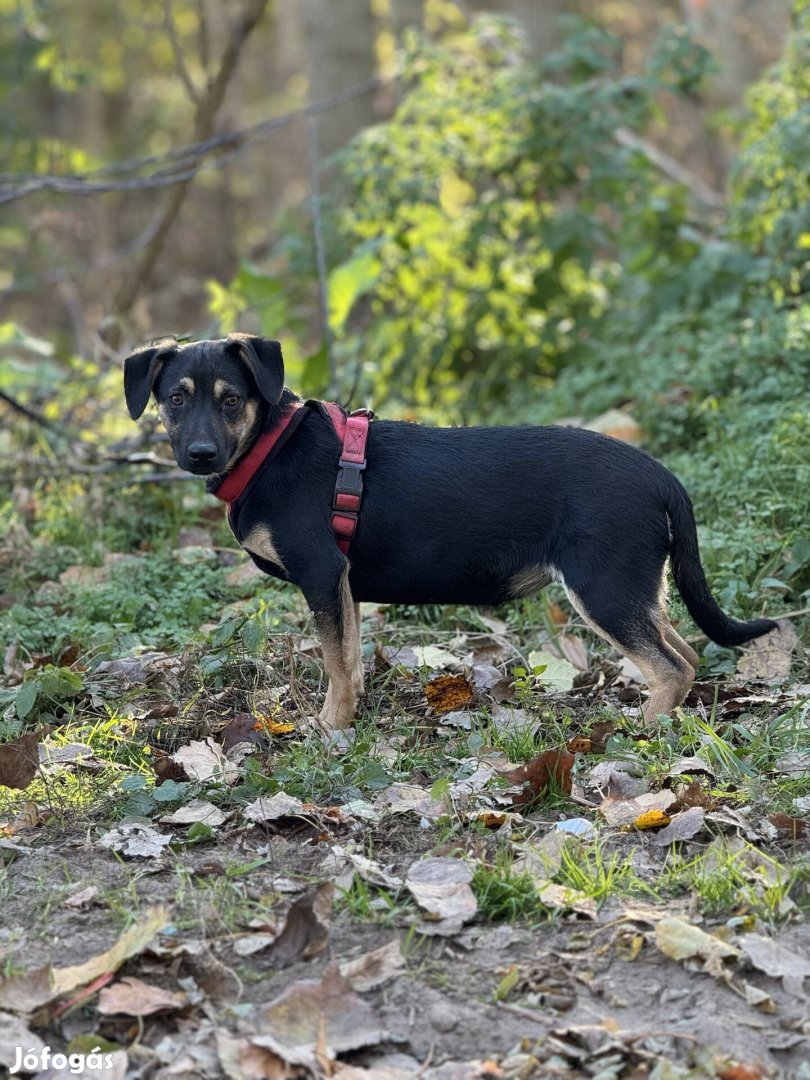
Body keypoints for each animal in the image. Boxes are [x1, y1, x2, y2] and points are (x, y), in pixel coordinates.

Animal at [123, 332, 777, 730]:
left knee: (673, 666)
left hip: (603, 588)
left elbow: (334, 664)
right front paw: (349, 720)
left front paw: (328, 729)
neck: (269, 447)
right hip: (638, 586)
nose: (200, 454)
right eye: (174, 399)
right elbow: (349, 660)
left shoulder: (320, 572)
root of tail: (662, 476)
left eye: (232, 400)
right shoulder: (343, 585)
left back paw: (638, 730)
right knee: (685, 652)